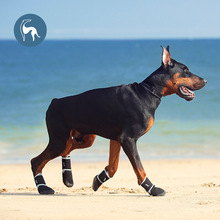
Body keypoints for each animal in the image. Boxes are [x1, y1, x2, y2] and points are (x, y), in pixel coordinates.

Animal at [31, 46, 206, 196]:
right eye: (186, 70)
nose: (205, 81)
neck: (147, 92)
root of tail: (55, 102)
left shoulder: (116, 139)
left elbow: (113, 167)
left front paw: (98, 180)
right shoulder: (128, 139)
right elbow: (139, 168)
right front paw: (152, 189)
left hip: (85, 139)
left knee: (67, 149)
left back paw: (67, 178)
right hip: (59, 141)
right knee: (36, 161)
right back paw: (43, 188)